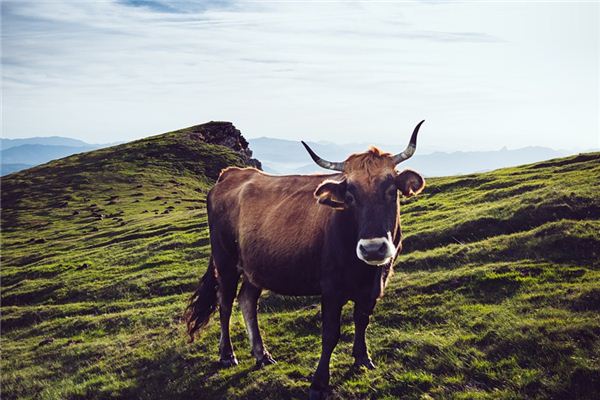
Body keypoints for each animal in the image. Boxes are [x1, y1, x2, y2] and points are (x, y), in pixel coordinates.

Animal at [185, 120, 424, 398]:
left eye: (390, 190)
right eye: (350, 195)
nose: (373, 249)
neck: (365, 271)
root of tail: (231, 174)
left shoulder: (374, 285)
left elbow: (362, 320)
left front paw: (363, 359)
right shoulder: (331, 288)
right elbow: (330, 333)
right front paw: (319, 382)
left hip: (255, 266)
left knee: (247, 300)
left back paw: (262, 354)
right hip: (225, 261)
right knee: (225, 305)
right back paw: (227, 355)